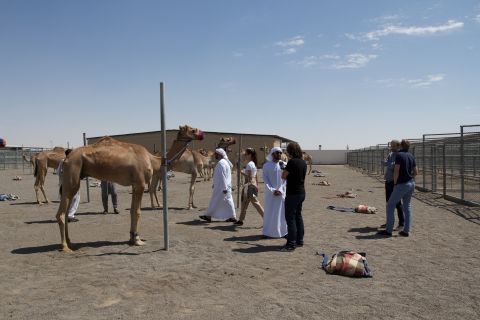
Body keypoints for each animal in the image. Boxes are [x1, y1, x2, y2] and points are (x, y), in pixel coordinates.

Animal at [57, 125, 203, 252]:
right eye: (192, 129)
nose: (203, 134)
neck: (153, 160)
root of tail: (66, 158)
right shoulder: (140, 183)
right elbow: (137, 212)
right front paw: (138, 240)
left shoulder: (134, 184)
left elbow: (132, 211)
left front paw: (132, 238)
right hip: (73, 174)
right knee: (61, 214)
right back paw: (65, 247)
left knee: (66, 210)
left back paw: (70, 242)